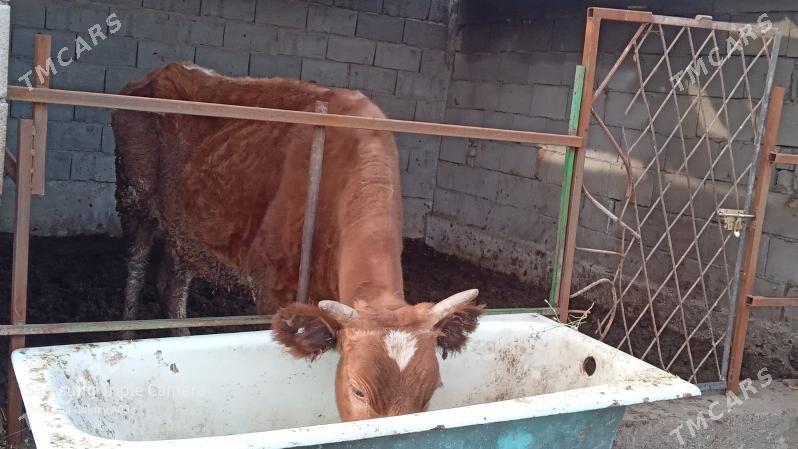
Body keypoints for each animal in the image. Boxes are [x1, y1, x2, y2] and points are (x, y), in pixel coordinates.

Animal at [112, 62, 484, 421]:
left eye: (433, 389)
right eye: (358, 390)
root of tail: (155, 73)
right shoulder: (271, 287)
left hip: (184, 228)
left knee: (172, 285)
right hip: (134, 196)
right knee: (135, 265)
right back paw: (126, 336)